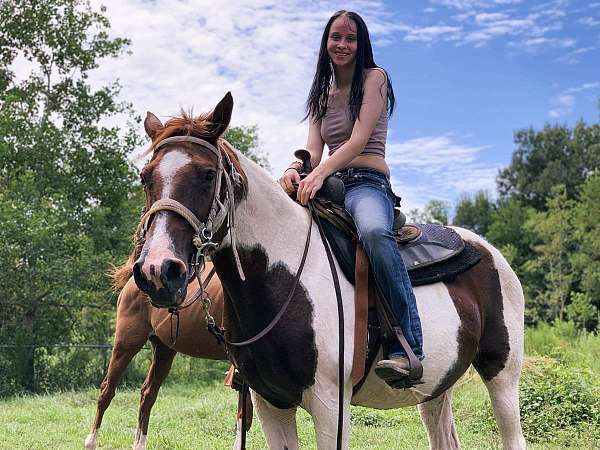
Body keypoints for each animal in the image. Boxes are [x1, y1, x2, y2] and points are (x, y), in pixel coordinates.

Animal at [85, 264, 236, 450]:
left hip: (164, 351)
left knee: (147, 394)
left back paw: (139, 444)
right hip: (125, 345)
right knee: (107, 390)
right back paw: (91, 441)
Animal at [131, 92, 524, 450]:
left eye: (207, 174)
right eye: (145, 177)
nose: (158, 270)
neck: (281, 277)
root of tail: (488, 250)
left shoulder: (330, 405)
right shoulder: (270, 402)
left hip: (502, 373)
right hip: (435, 388)